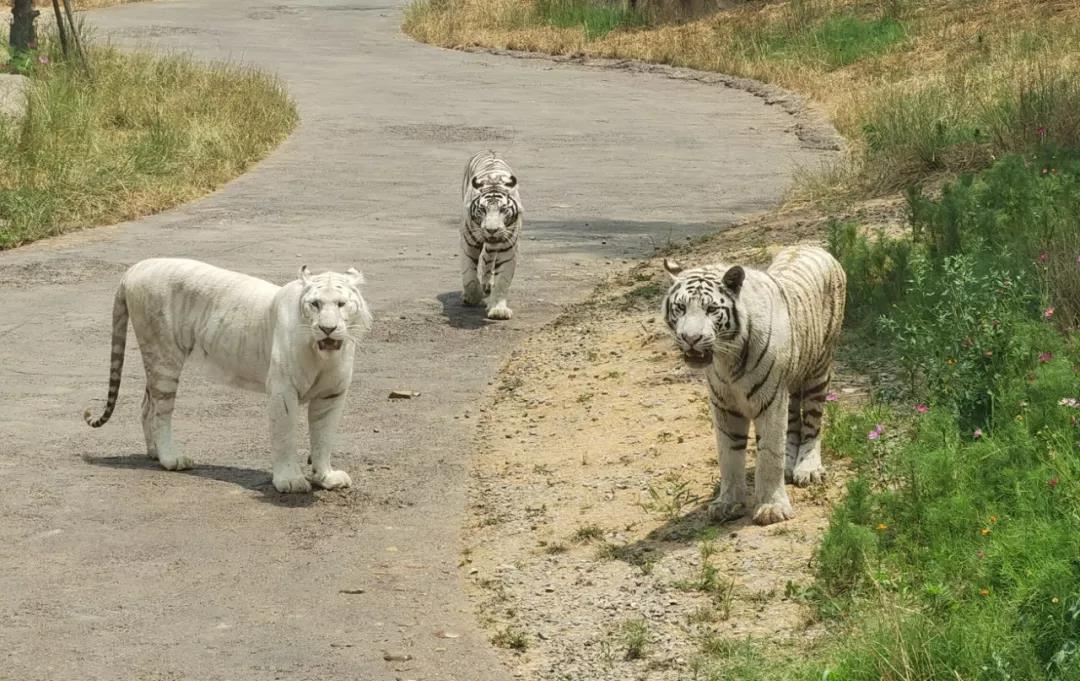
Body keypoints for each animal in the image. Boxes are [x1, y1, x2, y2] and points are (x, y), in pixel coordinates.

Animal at [82, 257, 373, 492]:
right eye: (315, 304)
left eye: (341, 304)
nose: (327, 328)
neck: (323, 355)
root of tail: (134, 268)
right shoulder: (283, 390)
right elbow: (285, 435)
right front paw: (289, 481)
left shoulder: (331, 394)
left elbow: (323, 436)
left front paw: (326, 477)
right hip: (164, 358)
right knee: (159, 412)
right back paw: (171, 459)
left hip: (156, 361)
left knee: (146, 405)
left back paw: (153, 453)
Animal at [457, 150, 520, 321]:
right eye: (483, 209)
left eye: (503, 209)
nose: (492, 230)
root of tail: (489, 150)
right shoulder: (469, 244)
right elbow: (470, 276)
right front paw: (472, 296)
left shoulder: (508, 248)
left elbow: (502, 281)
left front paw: (498, 310)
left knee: (487, 258)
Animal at [660, 244, 846, 526]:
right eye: (680, 307)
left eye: (711, 309)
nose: (690, 338)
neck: (727, 359)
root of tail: (810, 244)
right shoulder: (725, 407)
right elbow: (729, 456)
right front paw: (727, 503)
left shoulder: (770, 402)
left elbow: (769, 455)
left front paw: (772, 508)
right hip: (791, 382)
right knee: (793, 426)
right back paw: (790, 464)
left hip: (819, 369)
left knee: (813, 424)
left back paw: (808, 468)